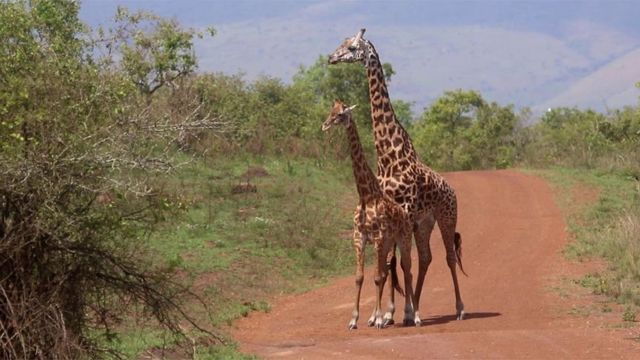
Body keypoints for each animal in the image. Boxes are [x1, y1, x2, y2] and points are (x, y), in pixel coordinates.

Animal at [320, 99, 420, 330]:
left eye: (341, 114)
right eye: (330, 112)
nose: (325, 125)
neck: (366, 195)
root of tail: (405, 215)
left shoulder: (378, 238)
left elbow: (376, 277)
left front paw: (380, 318)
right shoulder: (360, 237)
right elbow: (360, 277)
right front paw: (355, 319)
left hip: (403, 240)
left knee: (407, 271)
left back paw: (414, 316)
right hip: (389, 243)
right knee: (389, 271)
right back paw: (380, 316)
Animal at [328, 28, 468, 320]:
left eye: (352, 47)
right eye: (342, 43)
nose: (331, 57)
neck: (387, 157)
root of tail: (452, 190)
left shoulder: (406, 209)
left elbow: (398, 263)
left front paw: (397, 311)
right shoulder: (396, 214)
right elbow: (391, 263)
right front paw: (389, 313)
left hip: (446, 216)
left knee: (449, 257)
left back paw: (458, 308)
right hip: (425, 223)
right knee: (426, 257)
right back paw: (416, 306)